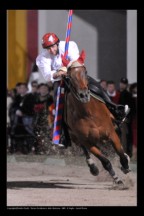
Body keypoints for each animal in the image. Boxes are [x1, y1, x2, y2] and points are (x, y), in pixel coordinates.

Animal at [61, 49, 131, 185]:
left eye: (85, 72)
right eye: (69, 76)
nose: (83, 95)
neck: (88, 113)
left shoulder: (111, 133)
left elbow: (120, 152)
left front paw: (125, 164)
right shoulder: (86, 141)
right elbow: (105, 161)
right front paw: (117, 179)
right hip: (76, 137)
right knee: (84, 150)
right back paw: (92, 167)